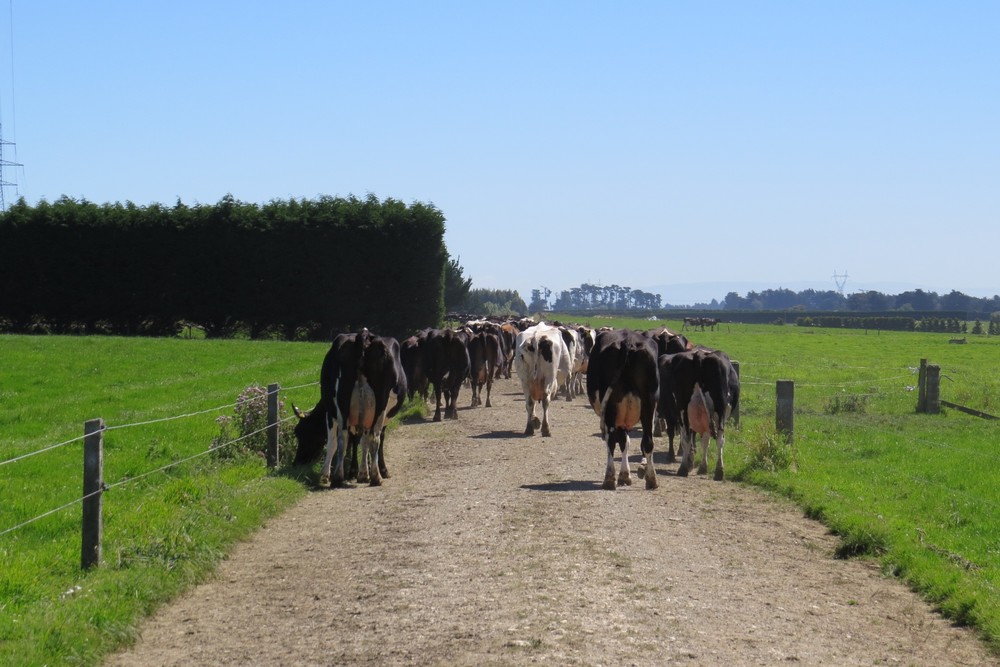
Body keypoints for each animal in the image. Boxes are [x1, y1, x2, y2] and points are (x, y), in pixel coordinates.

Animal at [292, 332, 406, 488]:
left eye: (305, 434)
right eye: (298, 433)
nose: (297, 462)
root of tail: (364, 335)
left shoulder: (332, 413)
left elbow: (345, 442)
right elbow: (362, 441)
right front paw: (362, 472)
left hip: (344, 404)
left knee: (343, 437)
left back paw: (340, 476)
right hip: (377, 405)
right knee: (370, 437)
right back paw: (372, 477)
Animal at [584, 328, 660, 490]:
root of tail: (628, 341)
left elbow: (623, 441)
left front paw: (624, 476)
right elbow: (626, 441)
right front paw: (625, 475)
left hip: (611, 407)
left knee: (611, 441)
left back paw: (609, 478)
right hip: (649, 404)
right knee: (648, 442)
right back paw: (652, 480)